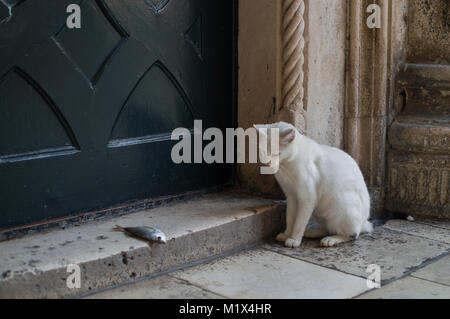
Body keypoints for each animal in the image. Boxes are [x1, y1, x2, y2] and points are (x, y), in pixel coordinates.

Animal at [253, 122, 372, 250]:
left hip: (344, 206)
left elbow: (300, 221)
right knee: (328, 229)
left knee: (352, 234)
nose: (267, 163)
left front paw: (294, 239)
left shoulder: (307, 198)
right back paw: (312, 233)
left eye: (277, 153)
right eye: (262, 151)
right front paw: (287, 234)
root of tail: (364, 222)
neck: (286, 166)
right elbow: (290, 218)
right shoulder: (291, 196)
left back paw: (330, 239)